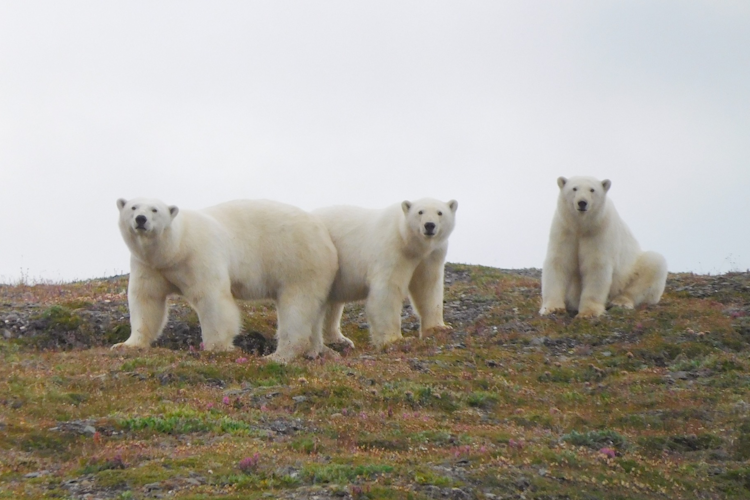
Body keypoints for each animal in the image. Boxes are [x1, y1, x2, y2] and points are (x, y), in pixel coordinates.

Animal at [114, 197, 339, 363]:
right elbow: (146, 299)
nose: (141, 219)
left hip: (299, 261)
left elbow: (212, 298)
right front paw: (127, 344)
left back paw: (280, 354)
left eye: (155, 210)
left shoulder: (199, 255)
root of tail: (325, 234)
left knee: (297, 306)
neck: (175, 249)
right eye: (133, 206)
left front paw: (216, 347)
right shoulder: (150, 266)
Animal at [313, 198, 458, 347]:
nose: (429, 225)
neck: (410, 242)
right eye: (420, 212)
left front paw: (439, 328)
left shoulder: (432, 255)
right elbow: (388, 289)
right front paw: (395, 339)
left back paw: (339, 340)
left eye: (440, 212)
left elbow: (427, 286)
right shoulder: (393, 248)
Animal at [539, 176, 668, 318]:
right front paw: (552, 308)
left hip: (630, 273)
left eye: (592, 190)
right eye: (574, 188)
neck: (581, 226)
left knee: (653, 263)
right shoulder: (564, 230)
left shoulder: (599, 232)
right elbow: (559, 262)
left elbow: (595, 266)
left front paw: (589, 312)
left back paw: (620, 301)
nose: (582, 203)